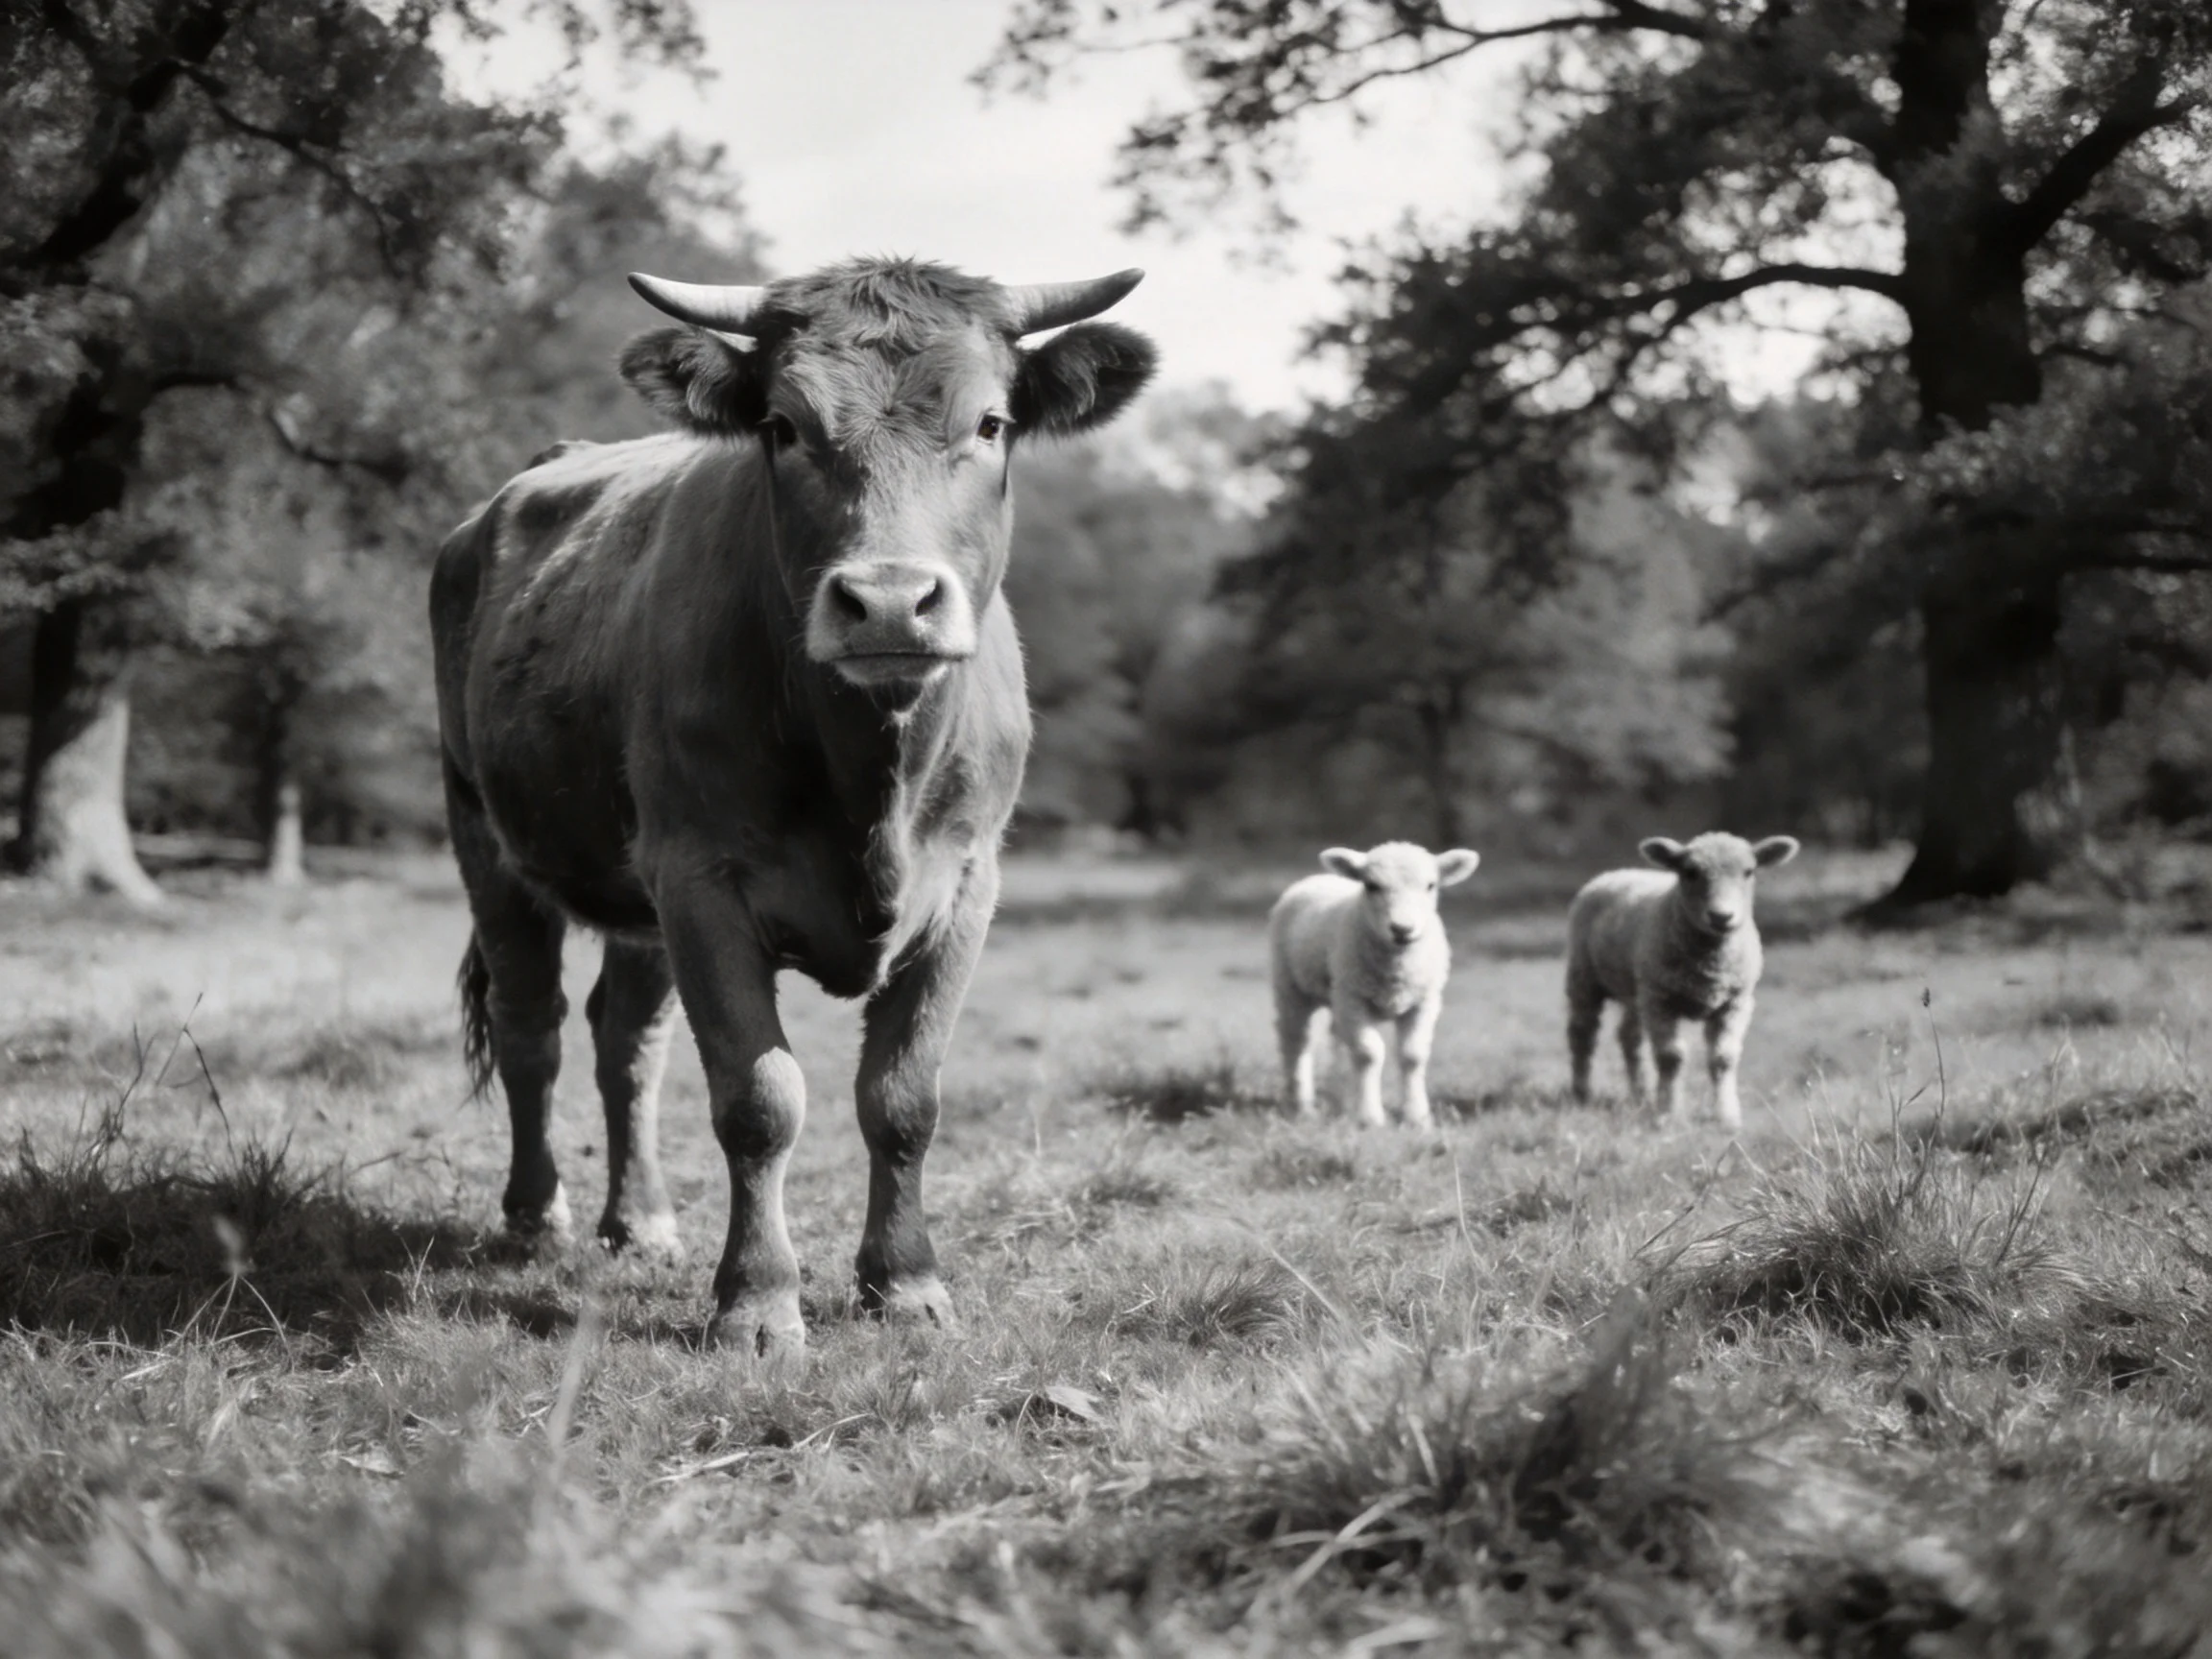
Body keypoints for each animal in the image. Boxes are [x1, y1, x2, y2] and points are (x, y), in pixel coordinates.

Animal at [430, 257, 1157, 1354]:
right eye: (782, 425)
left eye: (990, 423)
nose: (891, 602)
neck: (872, 774)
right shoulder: (702, 879)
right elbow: (758, 1099)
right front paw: (758, 1300)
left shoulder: (967, 883)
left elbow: (903, 1098)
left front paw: (905, 1281)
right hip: (487, 833)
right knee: (532, 1026)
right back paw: (534, 1217)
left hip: (637, 889)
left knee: (624, 1040)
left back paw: (639, 1221)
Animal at [1269, 842, 1481, 1128]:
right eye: (1371, 885)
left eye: (1430, 886)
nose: (1402, 929)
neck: (1396, 968)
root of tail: (1316, 877)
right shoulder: (1353, 998)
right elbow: (1369, 1054)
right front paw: (1370, 1118)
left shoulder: (1425, 1001)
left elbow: (1413, 1055)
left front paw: (1417, 1117)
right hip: (1291, 986)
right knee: (1296, 1041)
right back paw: (1302, 1107)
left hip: (1336, 996)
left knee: (1337, 1038)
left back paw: (1342, 1099)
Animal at [1565, 832, 1800, 1128]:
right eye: (1690, 872)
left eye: (1749, 872)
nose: (1721, 917)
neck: (1710, 963)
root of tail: (1615, 872)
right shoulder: (1661, 999)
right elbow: (1671, 1057)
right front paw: (1668, 1112)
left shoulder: (1735, 1002)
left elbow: (1724, 1058)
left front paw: (1726, 1116)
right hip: (1585, 976)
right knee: (1582, 1033)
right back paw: (1581, 1094)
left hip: (1638, 990)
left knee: (1629, 1037)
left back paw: (1641, 1094)